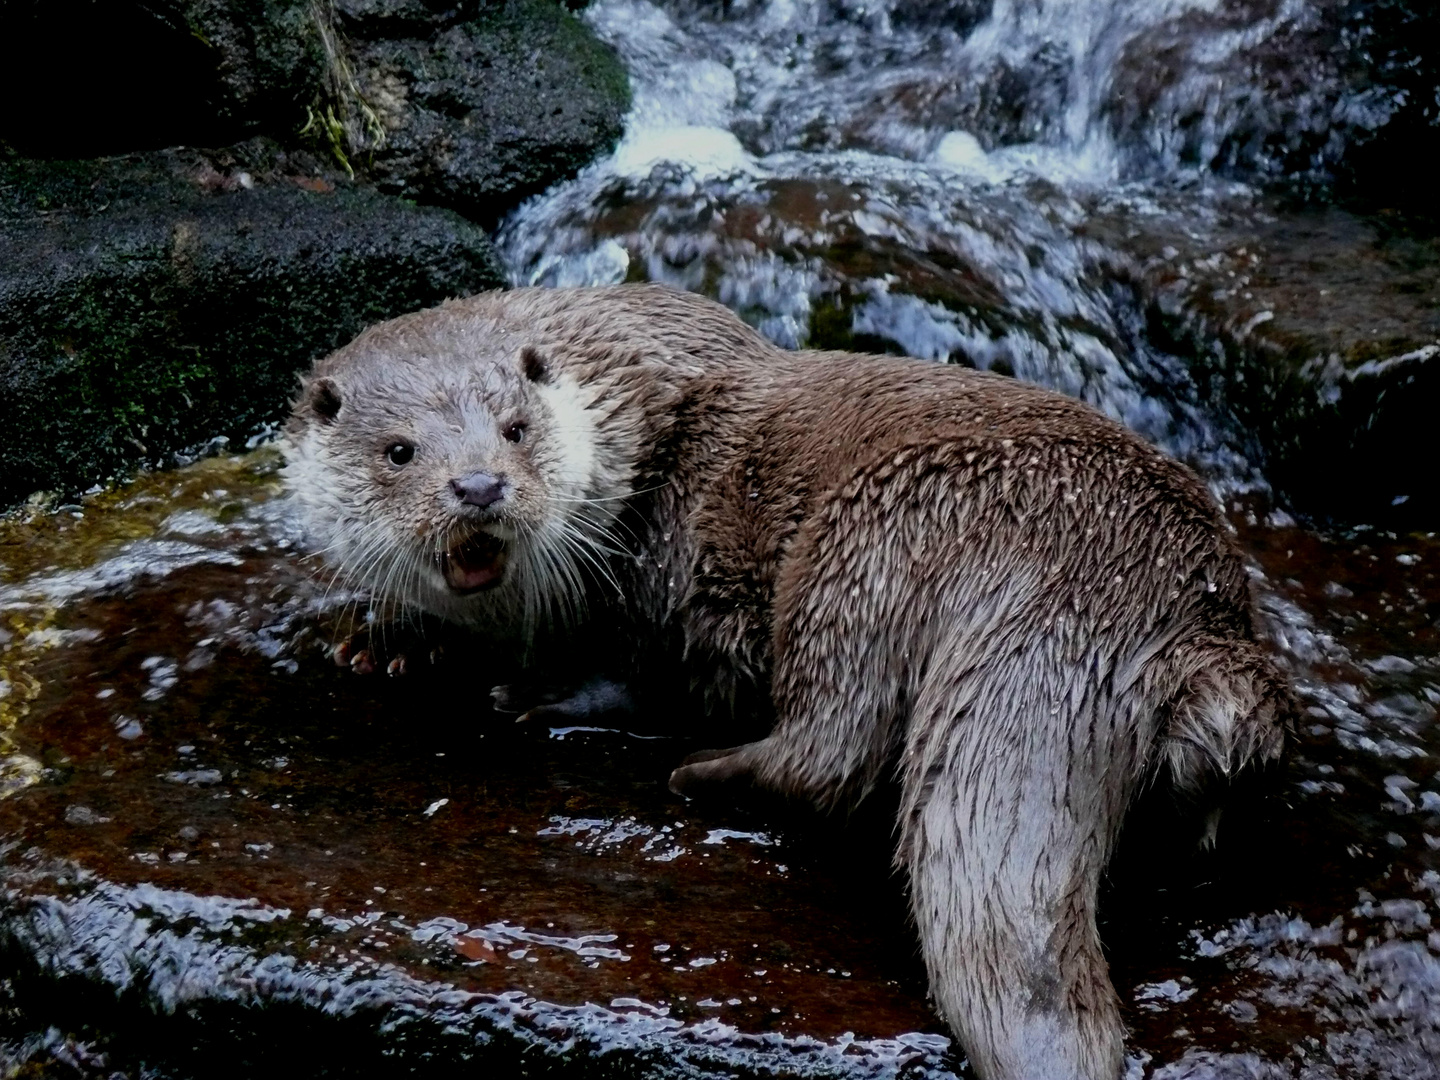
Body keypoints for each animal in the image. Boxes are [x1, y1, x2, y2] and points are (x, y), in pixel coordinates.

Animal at [283, 285, 1296, 1080]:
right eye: (400, 451)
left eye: (515, 429)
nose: (480, 486)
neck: (635, 433)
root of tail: (1121, 591)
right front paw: (380, 639)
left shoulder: (674, 570)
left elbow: (654, 673)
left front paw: (540, 694)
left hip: (869, 539)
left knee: (833, 750)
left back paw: (702, 774)